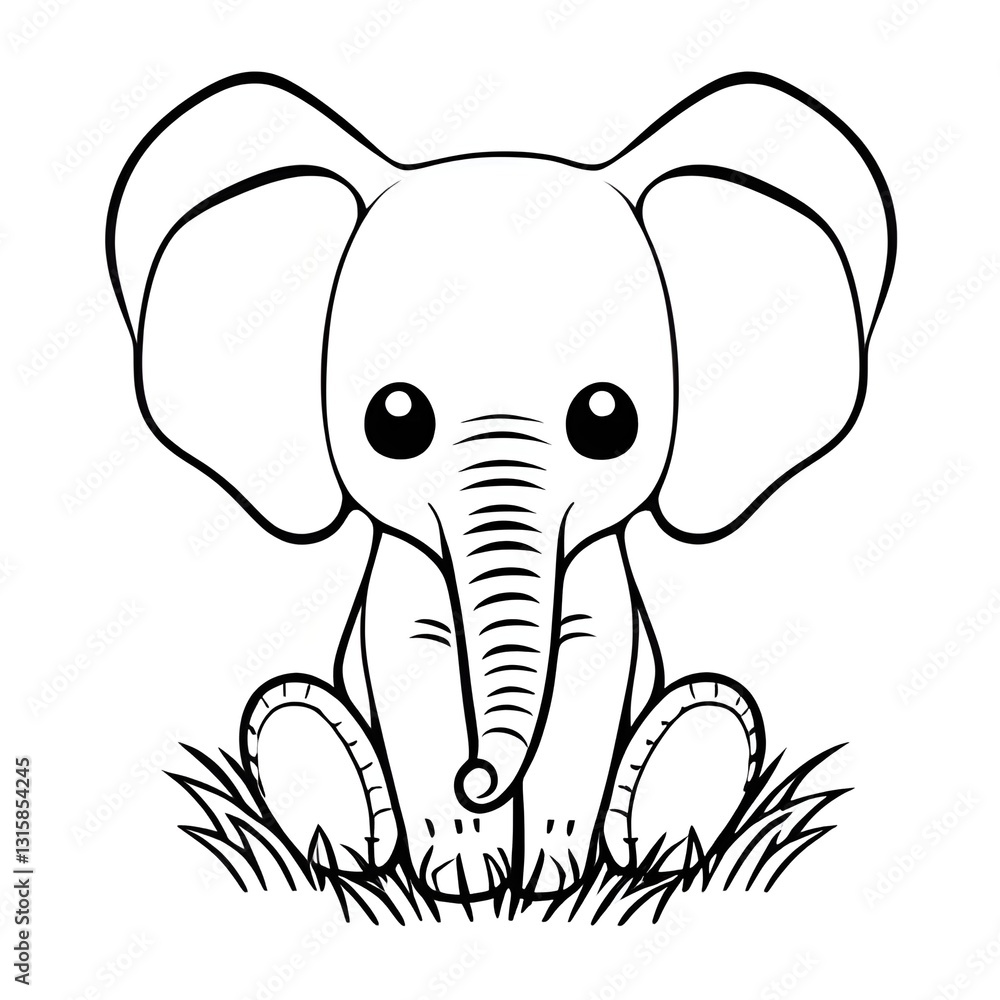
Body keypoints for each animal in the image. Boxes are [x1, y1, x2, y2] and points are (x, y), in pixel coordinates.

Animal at [107, 71, 895, 902]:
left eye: (608, 421)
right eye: (393, 422)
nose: (479, 777)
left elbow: (587, 664)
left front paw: (549, 880)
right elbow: (412, 664)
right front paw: (463, 882)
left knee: (706, 719)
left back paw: (655, 854)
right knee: (296, 718)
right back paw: (350, 854)